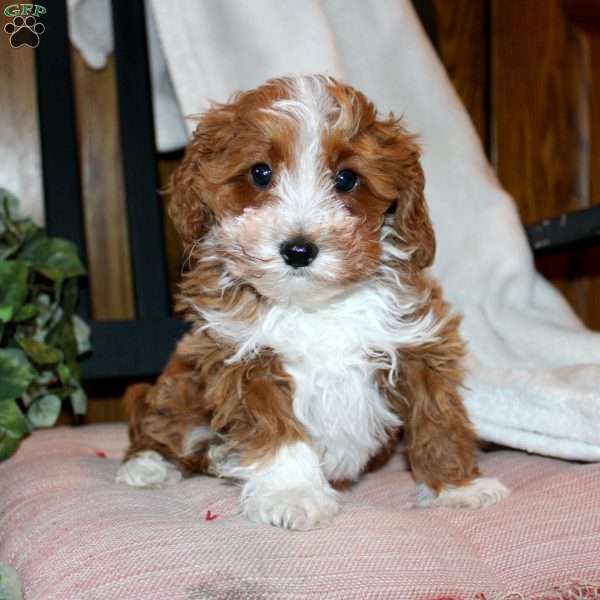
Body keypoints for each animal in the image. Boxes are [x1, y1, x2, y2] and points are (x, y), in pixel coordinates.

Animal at [118, 74, 510, 528]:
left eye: (346, 179)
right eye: (260, 173)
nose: (299, 250)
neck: (314, 305)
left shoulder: (417, 340)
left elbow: (437, 414)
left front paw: (457, 486)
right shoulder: (242, 356)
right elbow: (277, 430)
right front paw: (292, 493)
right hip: (181, 384)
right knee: (158, 419)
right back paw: (147, 464)